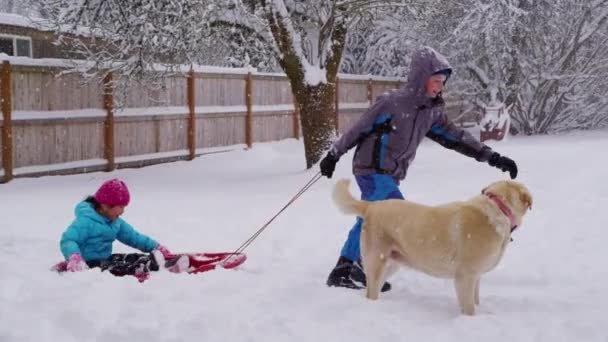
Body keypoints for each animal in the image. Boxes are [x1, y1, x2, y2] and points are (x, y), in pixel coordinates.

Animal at [332, 179, 532, 316]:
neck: (499, 209)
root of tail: (372, 206)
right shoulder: (465, 277)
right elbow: (469, 308)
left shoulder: (476, 277)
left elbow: (476, 301)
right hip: (378, 263)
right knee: (371, 292)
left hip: (391, 265)